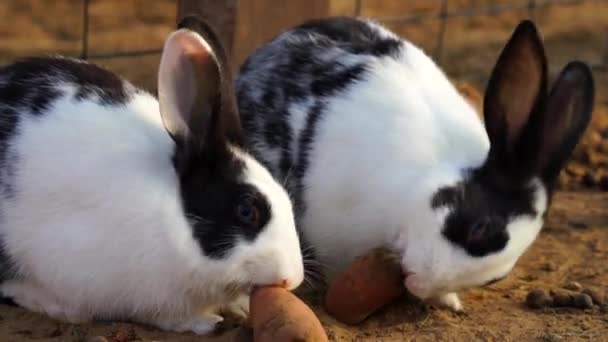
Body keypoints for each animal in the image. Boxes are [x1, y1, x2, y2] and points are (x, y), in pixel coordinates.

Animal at [0, 17, 304, 336]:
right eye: (247, 210)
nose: (291, 278)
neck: (172, 219)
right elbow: (166, 316)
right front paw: (205, 322)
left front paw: (241, 306)